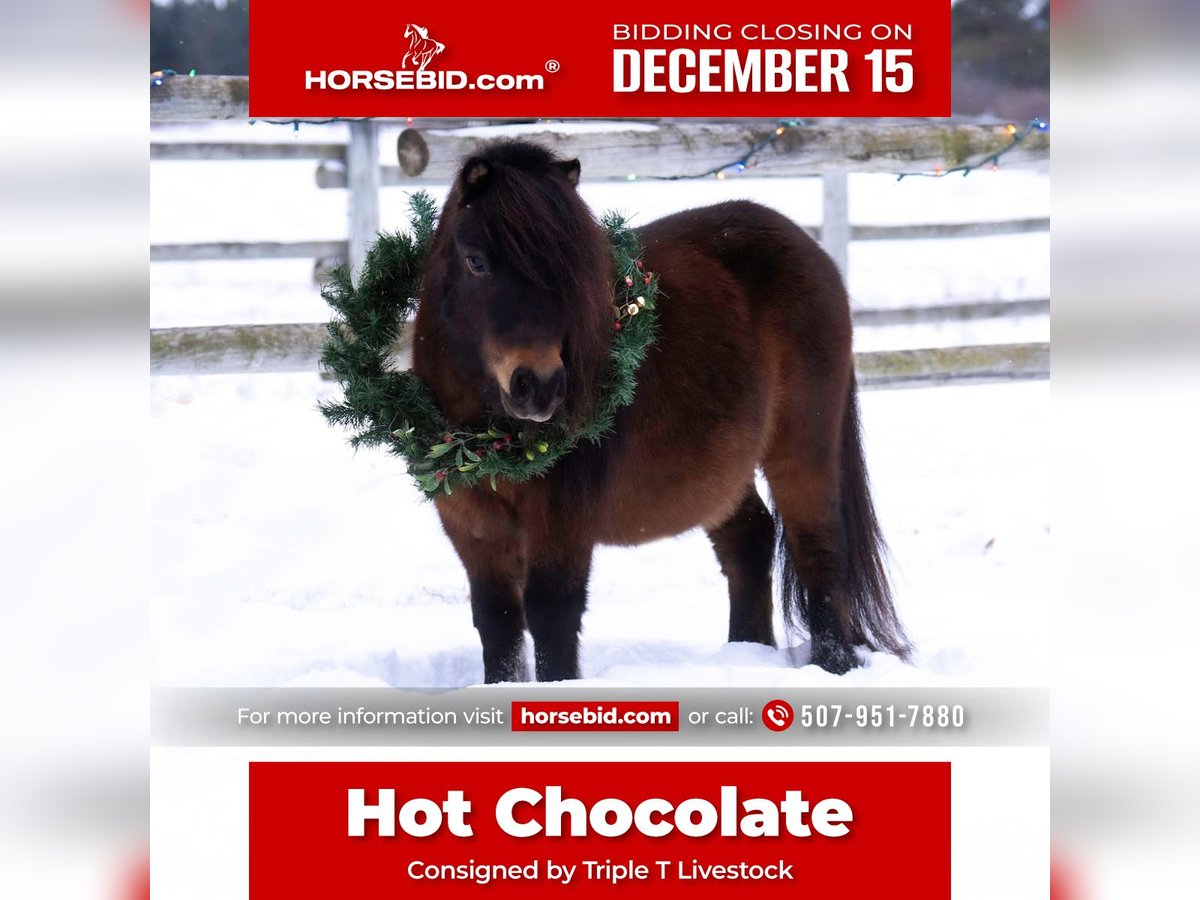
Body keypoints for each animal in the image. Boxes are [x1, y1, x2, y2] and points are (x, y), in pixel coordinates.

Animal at [410, 140, 910, 682]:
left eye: (570, 271)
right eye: (476, 261)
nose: (539, 387)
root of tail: (811, 249)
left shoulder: (563, 522)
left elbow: (551, 615)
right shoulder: (471, 528)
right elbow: (498, 620)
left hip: (802, 449)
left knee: (817, 548)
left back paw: (832, 666)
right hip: (721, 471)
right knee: (750, 540)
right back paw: (747, 653)